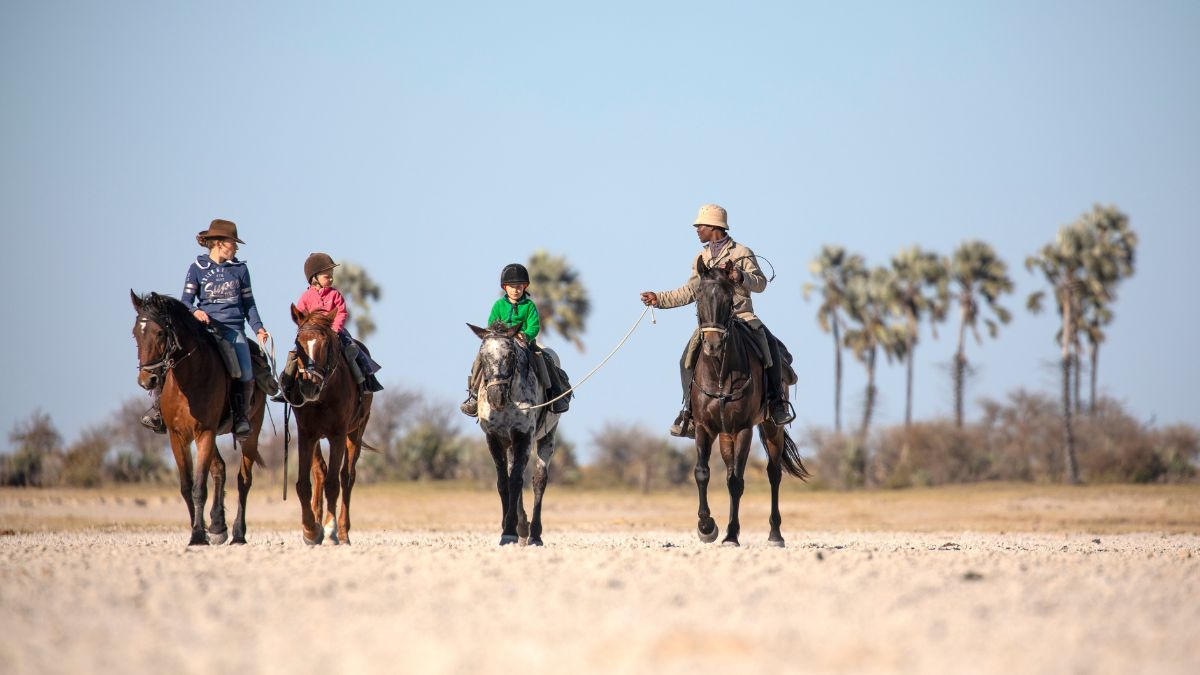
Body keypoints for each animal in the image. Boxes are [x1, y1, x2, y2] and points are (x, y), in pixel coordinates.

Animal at [130, 291, 266, 545]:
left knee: (244, 480)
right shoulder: (178, 437)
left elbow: (199, 488)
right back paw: (218, 525)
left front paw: (197, 535)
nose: (147, 380)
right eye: (135, 333)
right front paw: (201, 530)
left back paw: (238, 533)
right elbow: (187, 487)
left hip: (250, 433)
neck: (190, 380)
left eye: (160, 332)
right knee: (220, 469)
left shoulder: (205, 432)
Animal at [282, 305, 373, 545]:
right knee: (320, 472)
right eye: (298, 343)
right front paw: (310, 531)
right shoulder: (306, 434)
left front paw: (330, 530)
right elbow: (303, 484)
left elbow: (334, 484)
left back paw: (342, 532)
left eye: (325, 344)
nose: (308, 387)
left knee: (347, 477)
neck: (323, 396)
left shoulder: (337, 434)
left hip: (356, 432)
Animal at [467, 322, 562, 546]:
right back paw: (523, 527)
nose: (496, 396)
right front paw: (508, 528)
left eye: (510, 354)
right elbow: (504, 483)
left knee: (539, 480)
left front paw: (509, 530)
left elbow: (517, 480)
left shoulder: (523, 436)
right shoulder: (494, 438)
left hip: (547, 438)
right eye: (482, 355)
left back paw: (534, 533)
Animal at [689, 261, 809, 547]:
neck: (720, 374)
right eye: (698, 297)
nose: (712, 344)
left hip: (771, 427)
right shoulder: (704, 428)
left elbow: (737, 482)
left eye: (728, 298)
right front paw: (706, 527)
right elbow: (703, 472)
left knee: (774, 473)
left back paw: (775, 535)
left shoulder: (743, 428)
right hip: (726, 435)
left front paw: (731, 534)